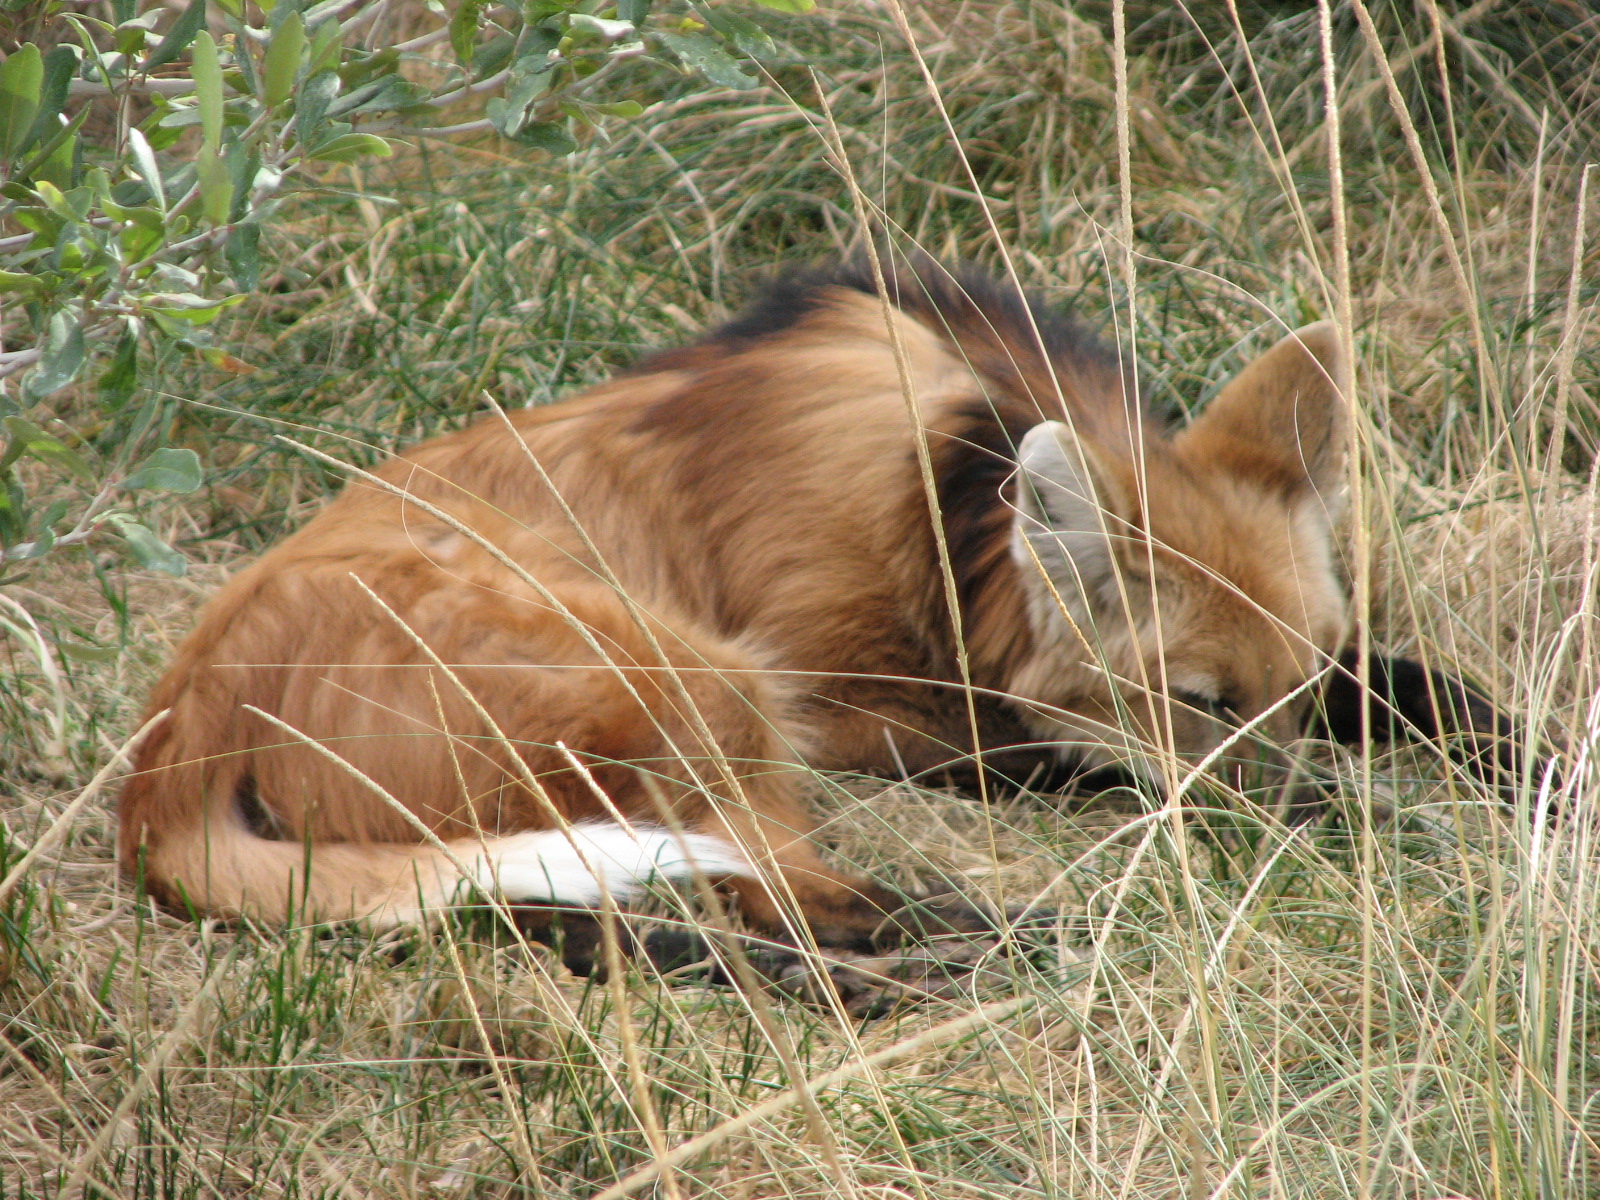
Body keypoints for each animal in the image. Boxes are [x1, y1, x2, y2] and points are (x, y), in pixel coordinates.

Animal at [118, 258, 1525, 956]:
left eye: (1292, 689)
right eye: (1199, 704)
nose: (1288, 822)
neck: (949, 478)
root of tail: (176, 737)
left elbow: (1412, 687)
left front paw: (1520, 764)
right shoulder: (834, 697)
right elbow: (1069, 752)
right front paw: (1371, 816)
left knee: (570, 903)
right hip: (688, 667)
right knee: (770, 897)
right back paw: (975, 947)